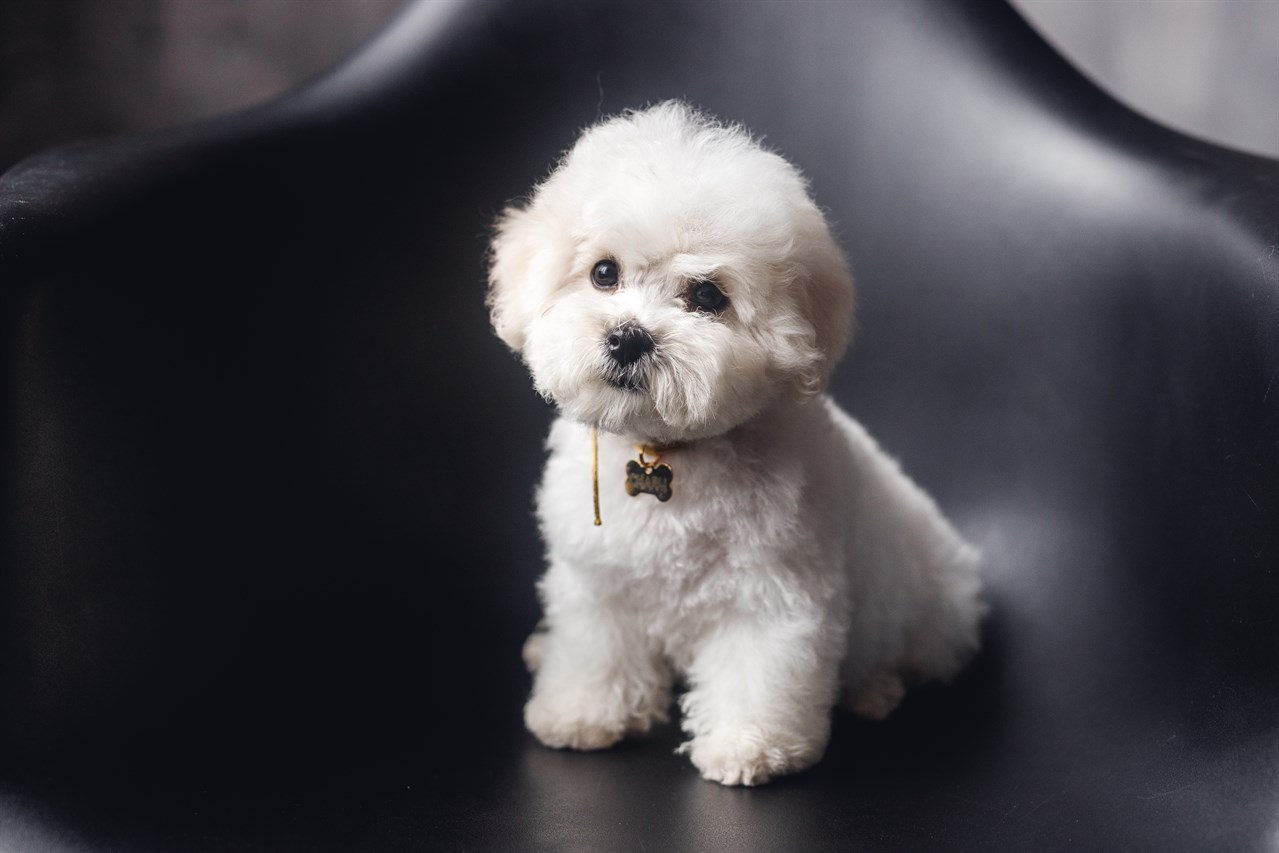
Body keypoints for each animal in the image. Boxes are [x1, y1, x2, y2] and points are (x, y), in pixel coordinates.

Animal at [483, 101, 982, 787]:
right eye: (604, 273)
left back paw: (875, 691)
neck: (666, 454)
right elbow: (595, 647)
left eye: (707, 296)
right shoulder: (600, 580)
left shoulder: (773, 593)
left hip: (922, 609)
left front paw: (751, 746)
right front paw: (582, 712)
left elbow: (758, 667)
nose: (628, 337)